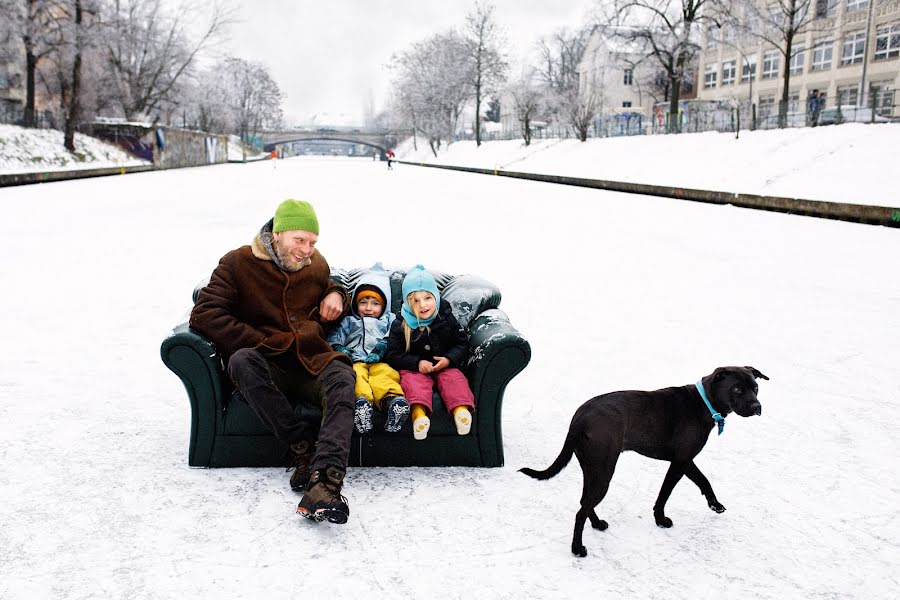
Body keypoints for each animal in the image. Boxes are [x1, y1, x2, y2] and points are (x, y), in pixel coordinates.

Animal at [520, 366, 768, 556]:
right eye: (736, 388)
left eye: (755, 388)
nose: (757, 407)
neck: (703, 402)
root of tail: (579, 417)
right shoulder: (680, 461)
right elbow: (665, 493)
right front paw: (661, 519)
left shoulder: (685, 460)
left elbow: (703, 480)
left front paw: (714, 504)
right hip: (604, 471)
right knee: (581, 511)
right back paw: (577, 549)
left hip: (592, 467)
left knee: (584, 502)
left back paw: (597, 524)